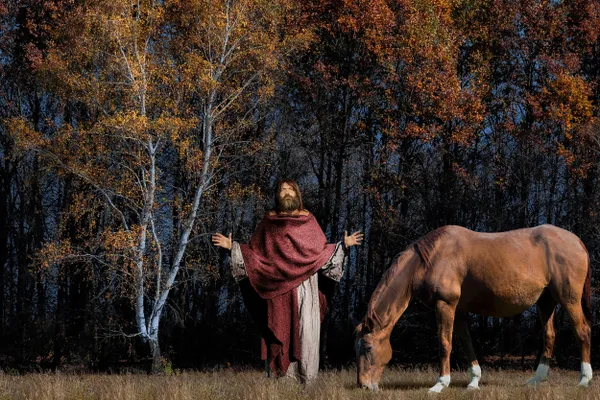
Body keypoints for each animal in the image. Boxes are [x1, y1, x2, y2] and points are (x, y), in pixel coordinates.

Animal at [354, 225, 592, 390]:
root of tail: (577, 241)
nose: (363, 385)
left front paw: (440, 384)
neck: (431, 258)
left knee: (583, 332)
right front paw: (473, 381)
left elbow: (444, 344)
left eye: (368, 347)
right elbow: (466, 343)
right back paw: (535, 380)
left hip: (569, 299)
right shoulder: (458, 310)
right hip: (545, 302)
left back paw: (584, 379)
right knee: (549, 335)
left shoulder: (445, 306)